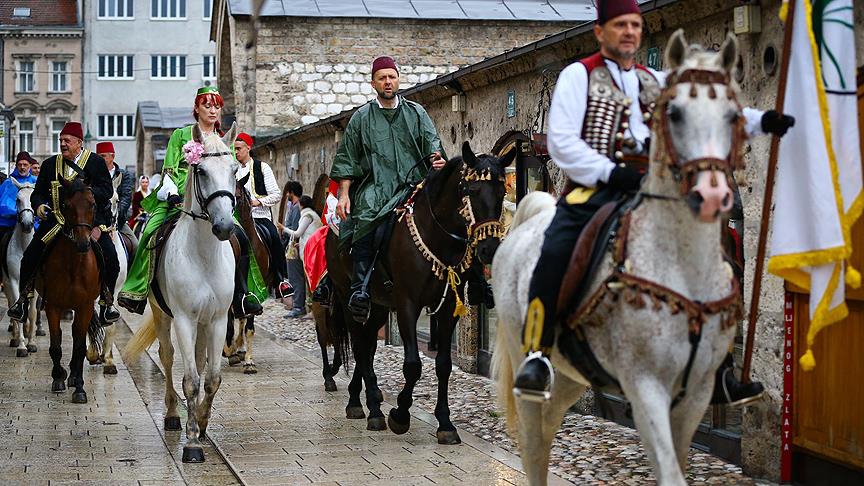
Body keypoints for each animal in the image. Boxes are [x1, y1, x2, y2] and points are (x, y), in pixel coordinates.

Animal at [35, 177, 101, 404]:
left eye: (93, 204)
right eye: (66, 205)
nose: (82, 243)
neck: (74, 264)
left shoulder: (85, 306)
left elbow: (80, 347)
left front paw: (79, 388)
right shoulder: (52, 305)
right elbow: (55, 344)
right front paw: (58, 378)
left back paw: (73, 375)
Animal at [123, 121, 238, 464]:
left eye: (235, 170)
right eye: (200, 170)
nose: (224, 227)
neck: (204, 256)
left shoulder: (217, 320)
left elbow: (211, 379)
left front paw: (202, 422)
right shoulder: (185, 319)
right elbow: (190, 381)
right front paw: (191, 443)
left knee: (198, 361)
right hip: (163, 315)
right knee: (168, 356)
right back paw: (174, 414)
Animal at [328, 141, 510, 444]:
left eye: (503, 191)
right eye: (470, 190)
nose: (489, 249)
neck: (437, 235)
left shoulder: (449, 309)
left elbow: (444, 365)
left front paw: (445, 423)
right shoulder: (407, 304)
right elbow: (413, 364)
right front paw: (400, 414)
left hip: (379, 306)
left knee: (369, 345)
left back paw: (362, 398)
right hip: (347, 299)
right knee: (360, 346)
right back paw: (372, 408)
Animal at [492, 32, 744, 484]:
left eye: (733, 114)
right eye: (674, 112)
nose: (713, 194)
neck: (682, 266)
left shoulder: (695, 393)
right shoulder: (645, 387)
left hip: (570, 374)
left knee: (550, 427)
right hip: (528, 362)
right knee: (533, 445)